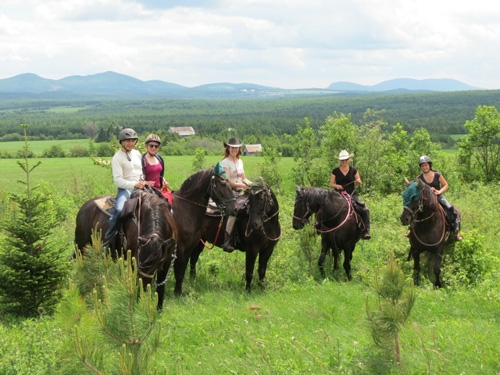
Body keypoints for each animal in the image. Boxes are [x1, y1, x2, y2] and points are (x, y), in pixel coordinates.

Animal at [170, 166, 236, 298]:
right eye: (222, 183)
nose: (235, 208)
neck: (186, 209)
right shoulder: (180, 247)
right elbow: (178, 268)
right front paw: (176, 293)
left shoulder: (190, 246)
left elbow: (182, 269)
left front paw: (179, 292)